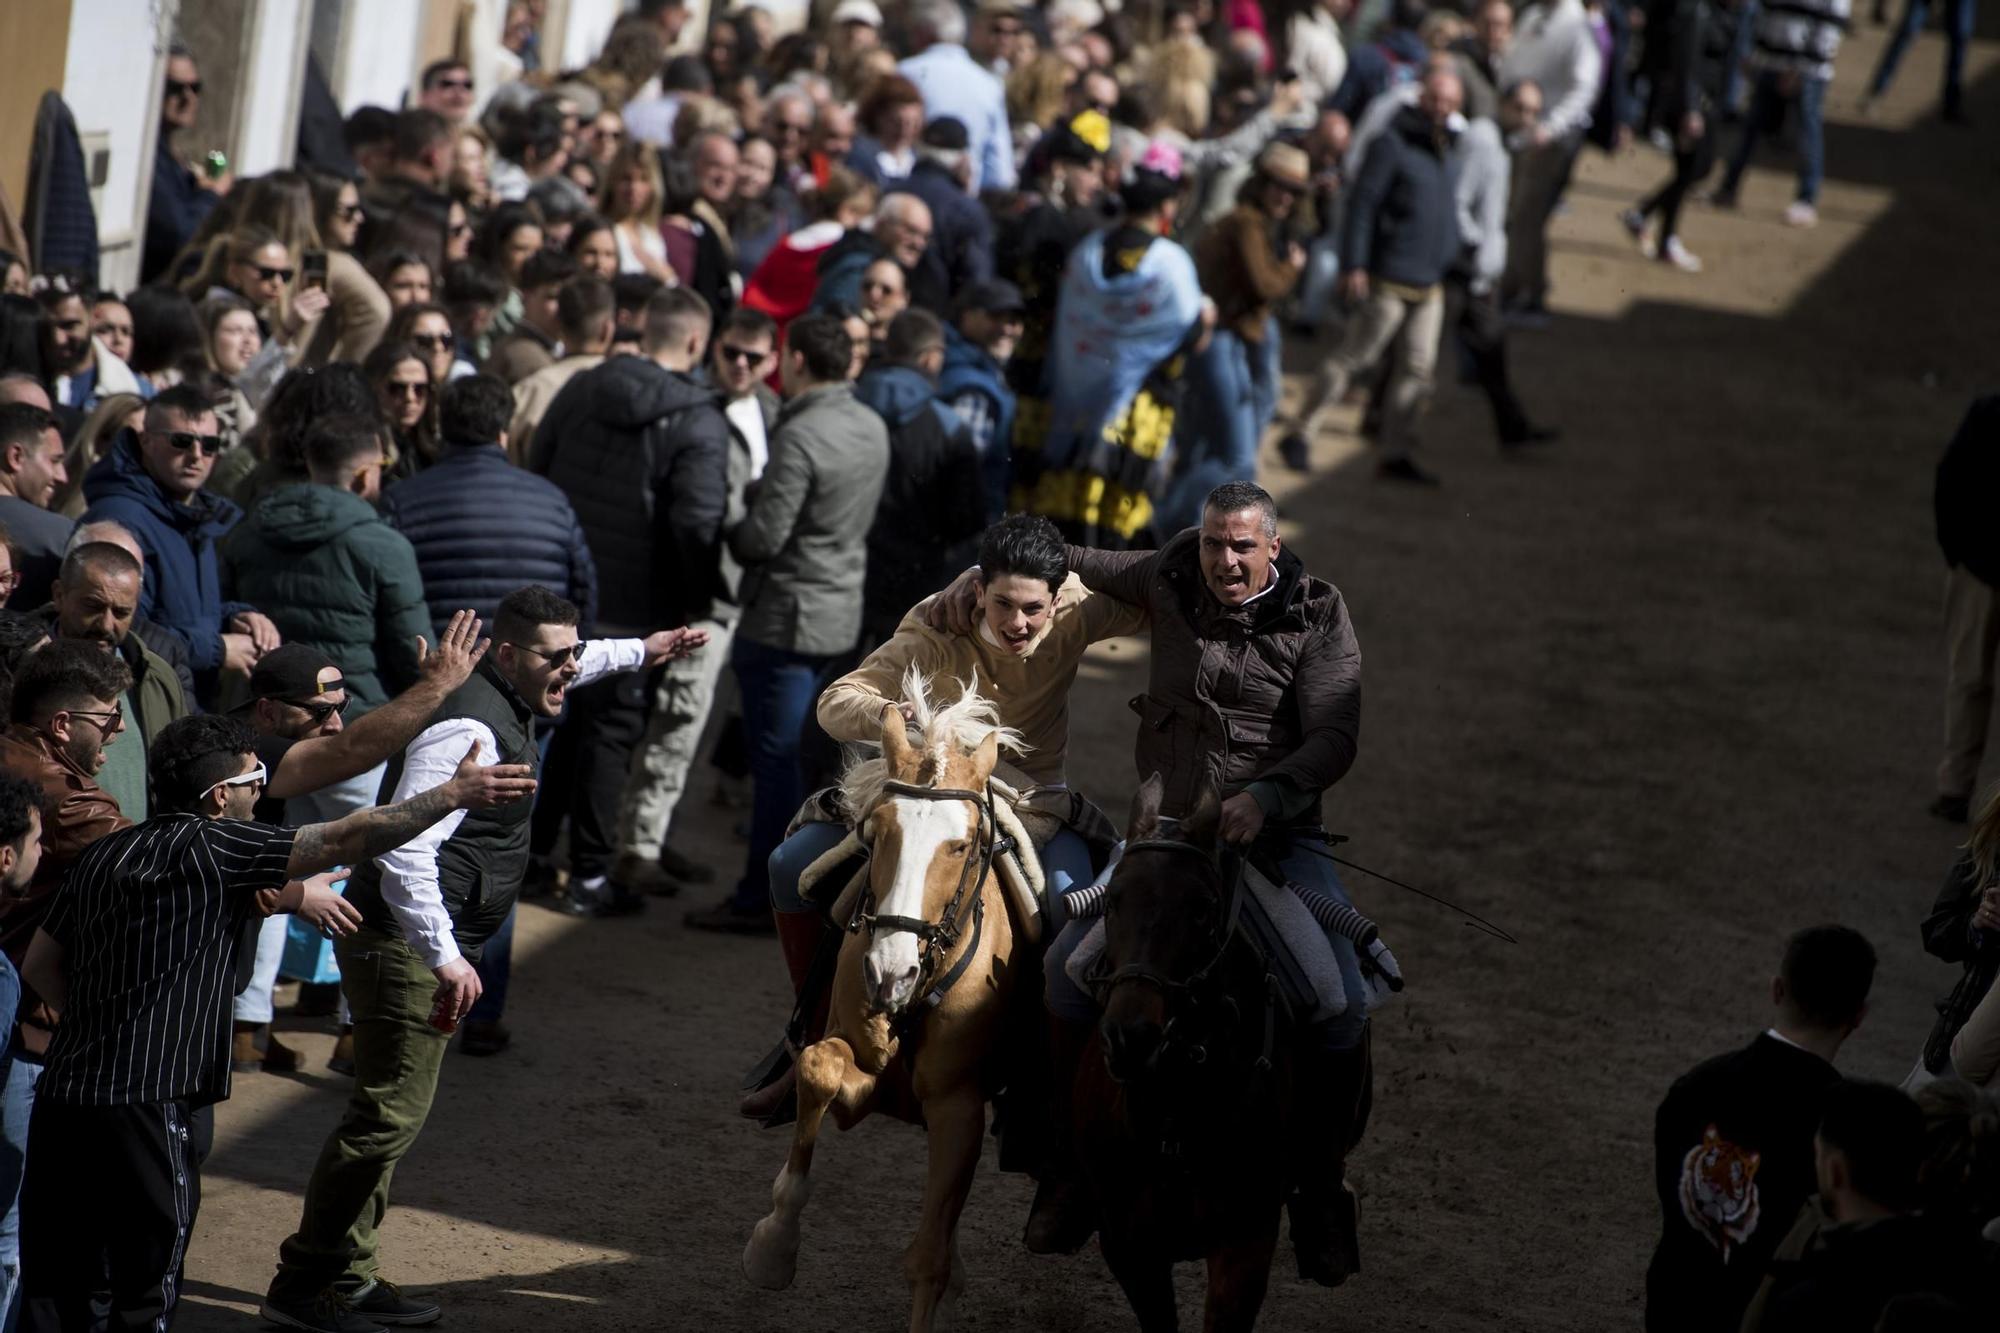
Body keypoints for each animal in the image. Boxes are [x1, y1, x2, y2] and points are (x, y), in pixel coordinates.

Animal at [752, 676, 1032, 1328]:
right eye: (878, 831)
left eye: (963, 844)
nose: (889, 971)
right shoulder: (856, 1065)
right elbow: (817, 1066)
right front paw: (775, 1244)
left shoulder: (958, 1107)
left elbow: (927, 1258)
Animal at [1080, 772, 1312, 1328]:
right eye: (1113, 899)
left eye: (1203, 909)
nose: (1131, 1036)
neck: (1176, 1107)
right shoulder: (1127, 1244)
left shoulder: (1245, 1243)